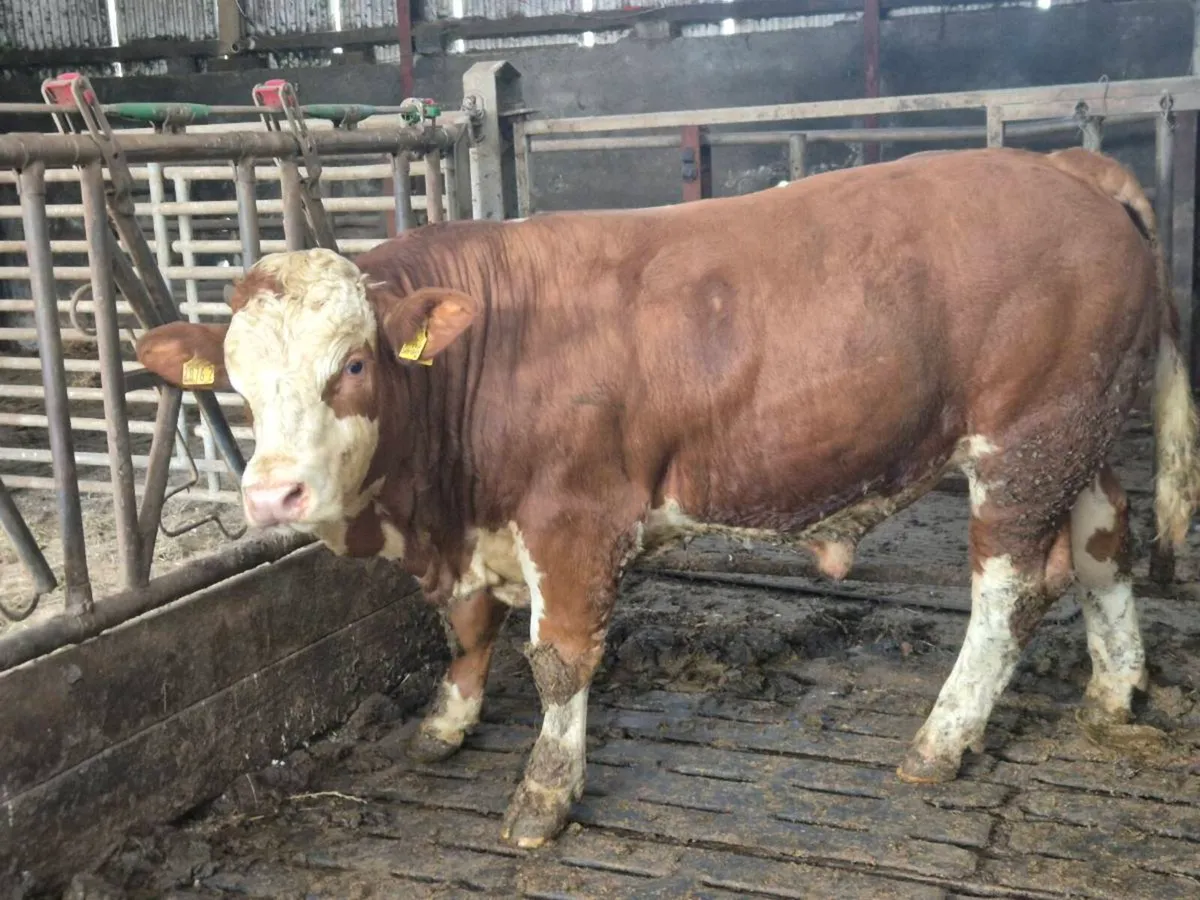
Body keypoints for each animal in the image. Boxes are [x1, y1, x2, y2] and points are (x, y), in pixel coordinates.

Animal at [135, 146, 1199, 849]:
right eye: (236, 382)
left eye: (353, 364)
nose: (274, 495)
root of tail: (1064, 166)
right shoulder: (477, 530)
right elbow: (467, 628)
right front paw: (446, 724)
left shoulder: (572, 519)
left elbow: (558, 662)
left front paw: (545, 795)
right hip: (1082, 439)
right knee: (1106, 547)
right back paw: (1113, 691)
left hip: (1025, 445)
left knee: (1008, 592)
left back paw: (943, 737)